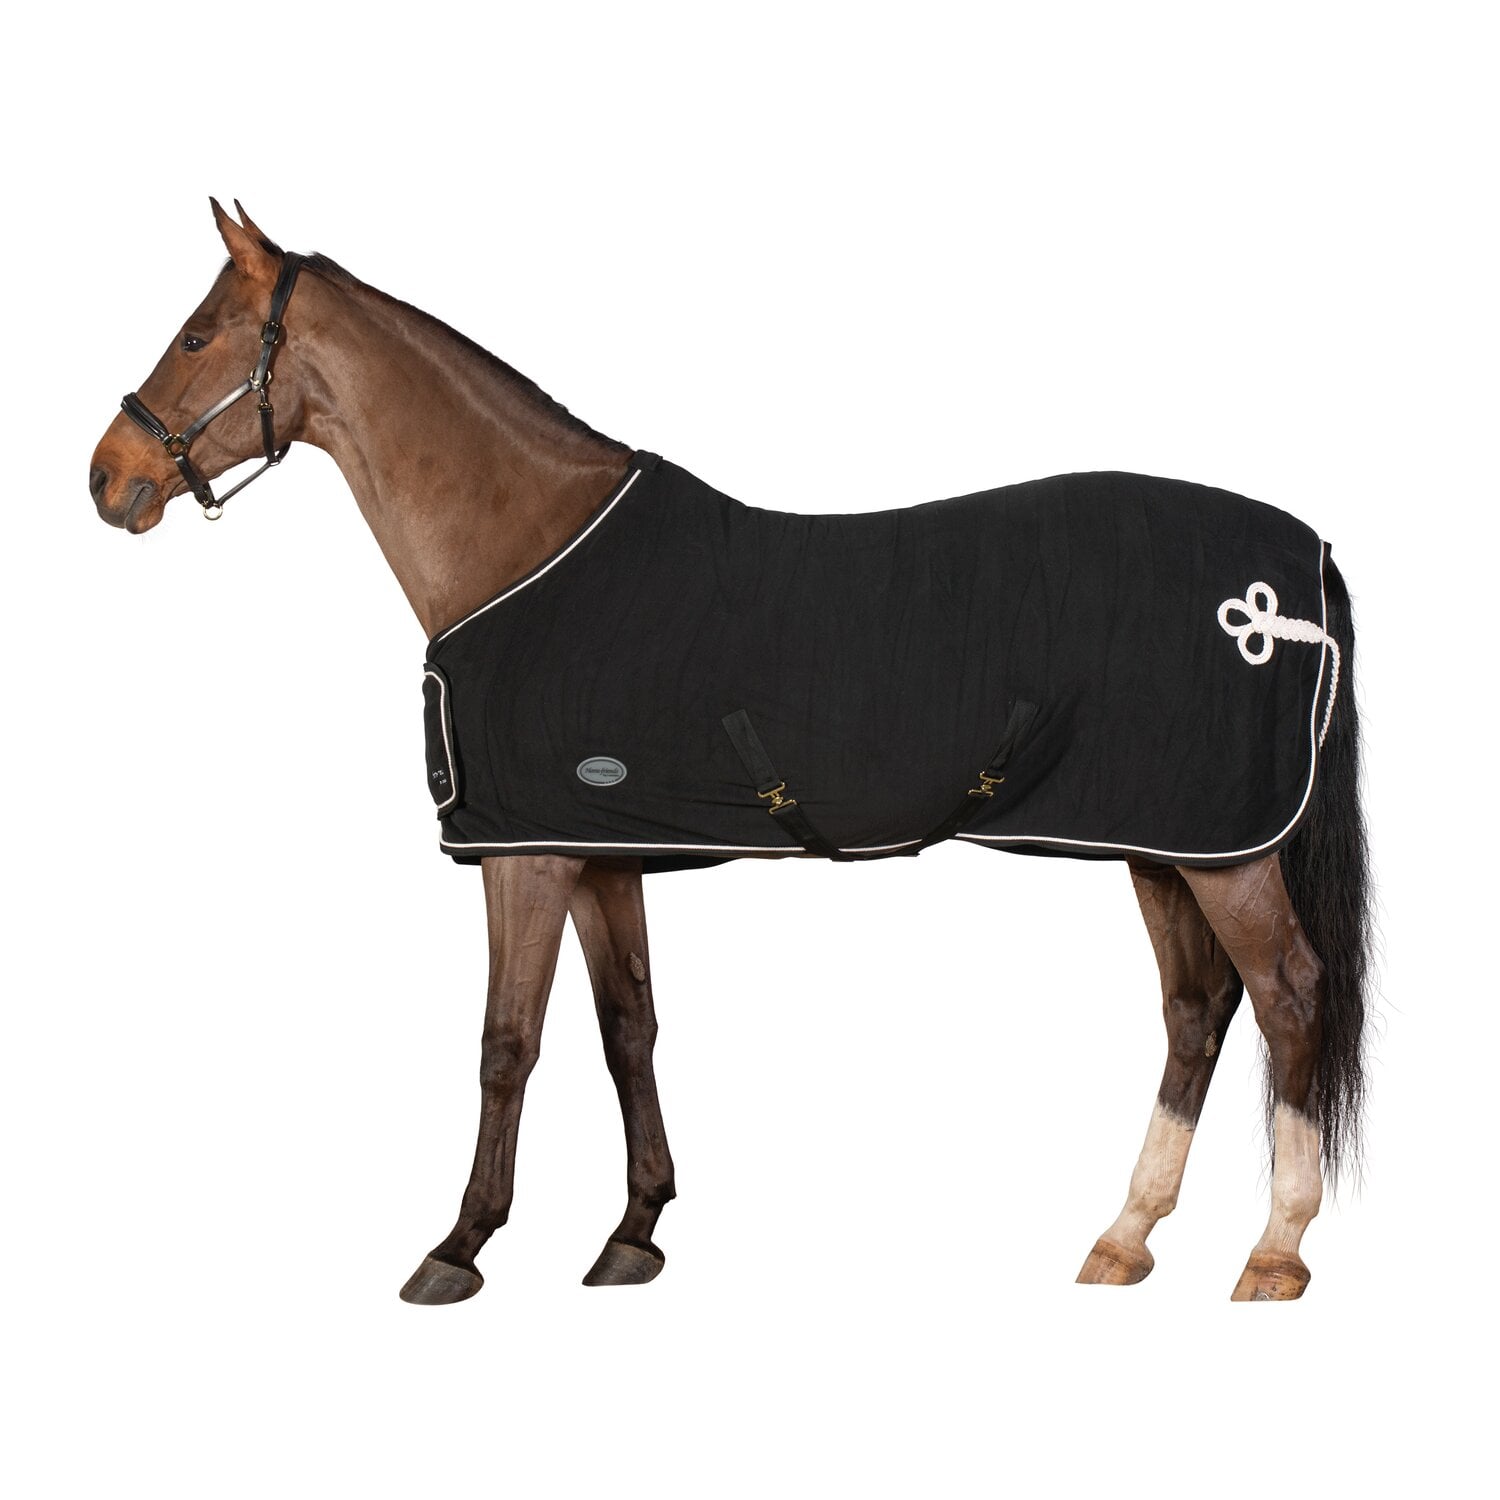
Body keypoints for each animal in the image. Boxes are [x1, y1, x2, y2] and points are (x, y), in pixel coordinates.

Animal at [89, 200, 1371, 1304]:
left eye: (197, 333)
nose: (108, 477)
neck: (526, 553)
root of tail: (1297, 569)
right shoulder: (597, 855)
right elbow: (629, 1031)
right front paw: (634, 1233)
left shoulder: (524, 858)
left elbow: (509, 1043)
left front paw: (458, 1246)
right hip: (1159, 842)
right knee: (1197, 1011)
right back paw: (1123, 1238)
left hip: (1222, 852)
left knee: (1289, 998)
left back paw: (1275, 1253)